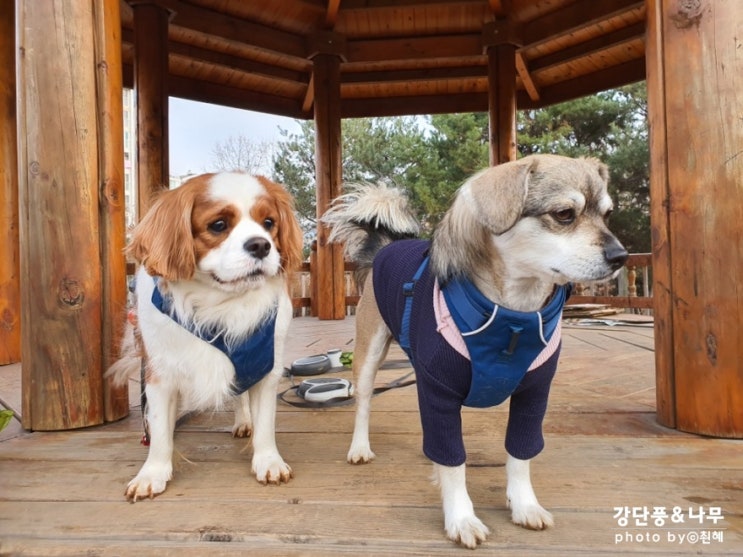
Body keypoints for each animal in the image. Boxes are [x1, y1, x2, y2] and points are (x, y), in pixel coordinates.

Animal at [107, 173, 302, 500]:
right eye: (219, 225)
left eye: (269, 223)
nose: (261, 245)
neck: (220, 305)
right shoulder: (160, 375)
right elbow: (159, 431)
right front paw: (153, 473)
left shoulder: (264, 365)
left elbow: (265, 422)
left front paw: (268, 461)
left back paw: (243, 421)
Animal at [324, 154, 628, 544]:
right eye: (564, 214)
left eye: (607, 214)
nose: (621, 256)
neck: (513, 315)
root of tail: (387, 244)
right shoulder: (439, 390)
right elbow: (454, 461)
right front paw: (461, 517)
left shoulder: (533, 395)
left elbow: (520, 453)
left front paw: (524, 503)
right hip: (369, 352)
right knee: (363, 403)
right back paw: (360, 447)